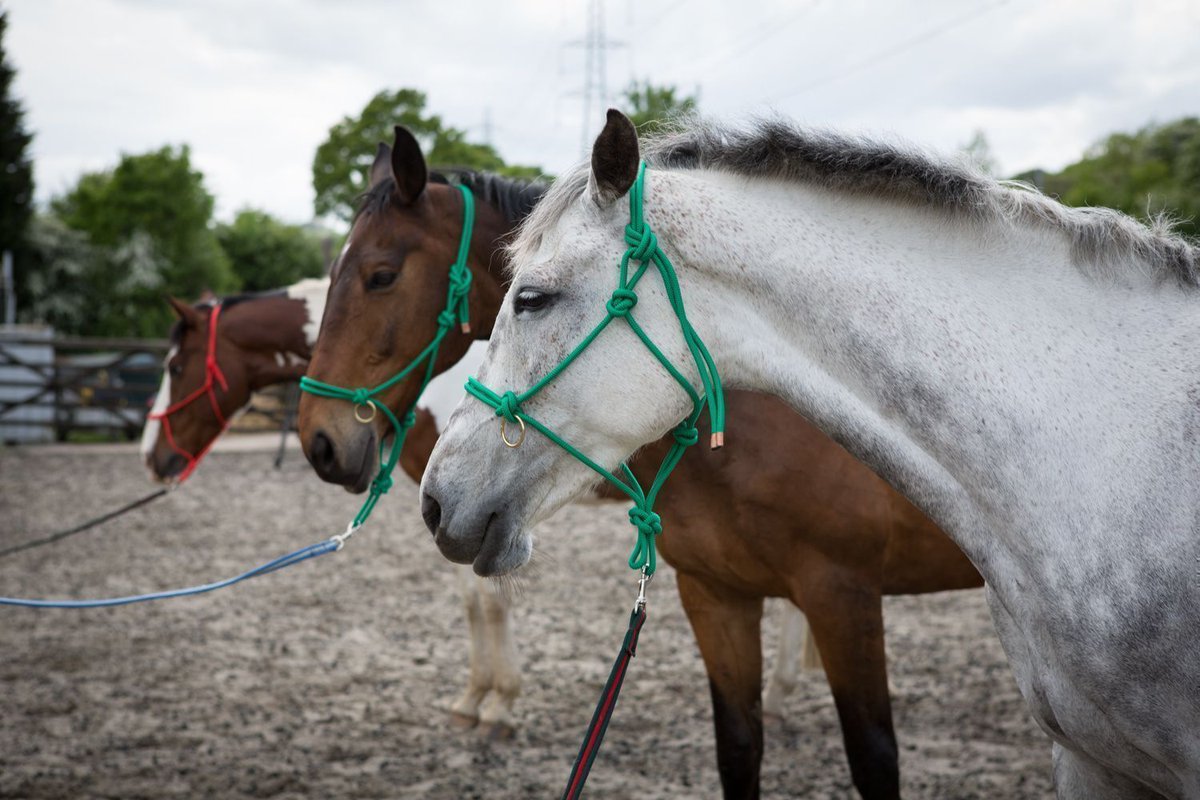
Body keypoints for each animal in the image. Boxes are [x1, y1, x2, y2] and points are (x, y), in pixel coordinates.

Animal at [295, 126, 979, 800]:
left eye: (380, 275)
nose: (319, 440)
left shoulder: (845, 593)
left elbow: (873, 758)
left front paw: (493, 706)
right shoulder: (715, 593)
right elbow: (738, 745)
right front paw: (479, 702)